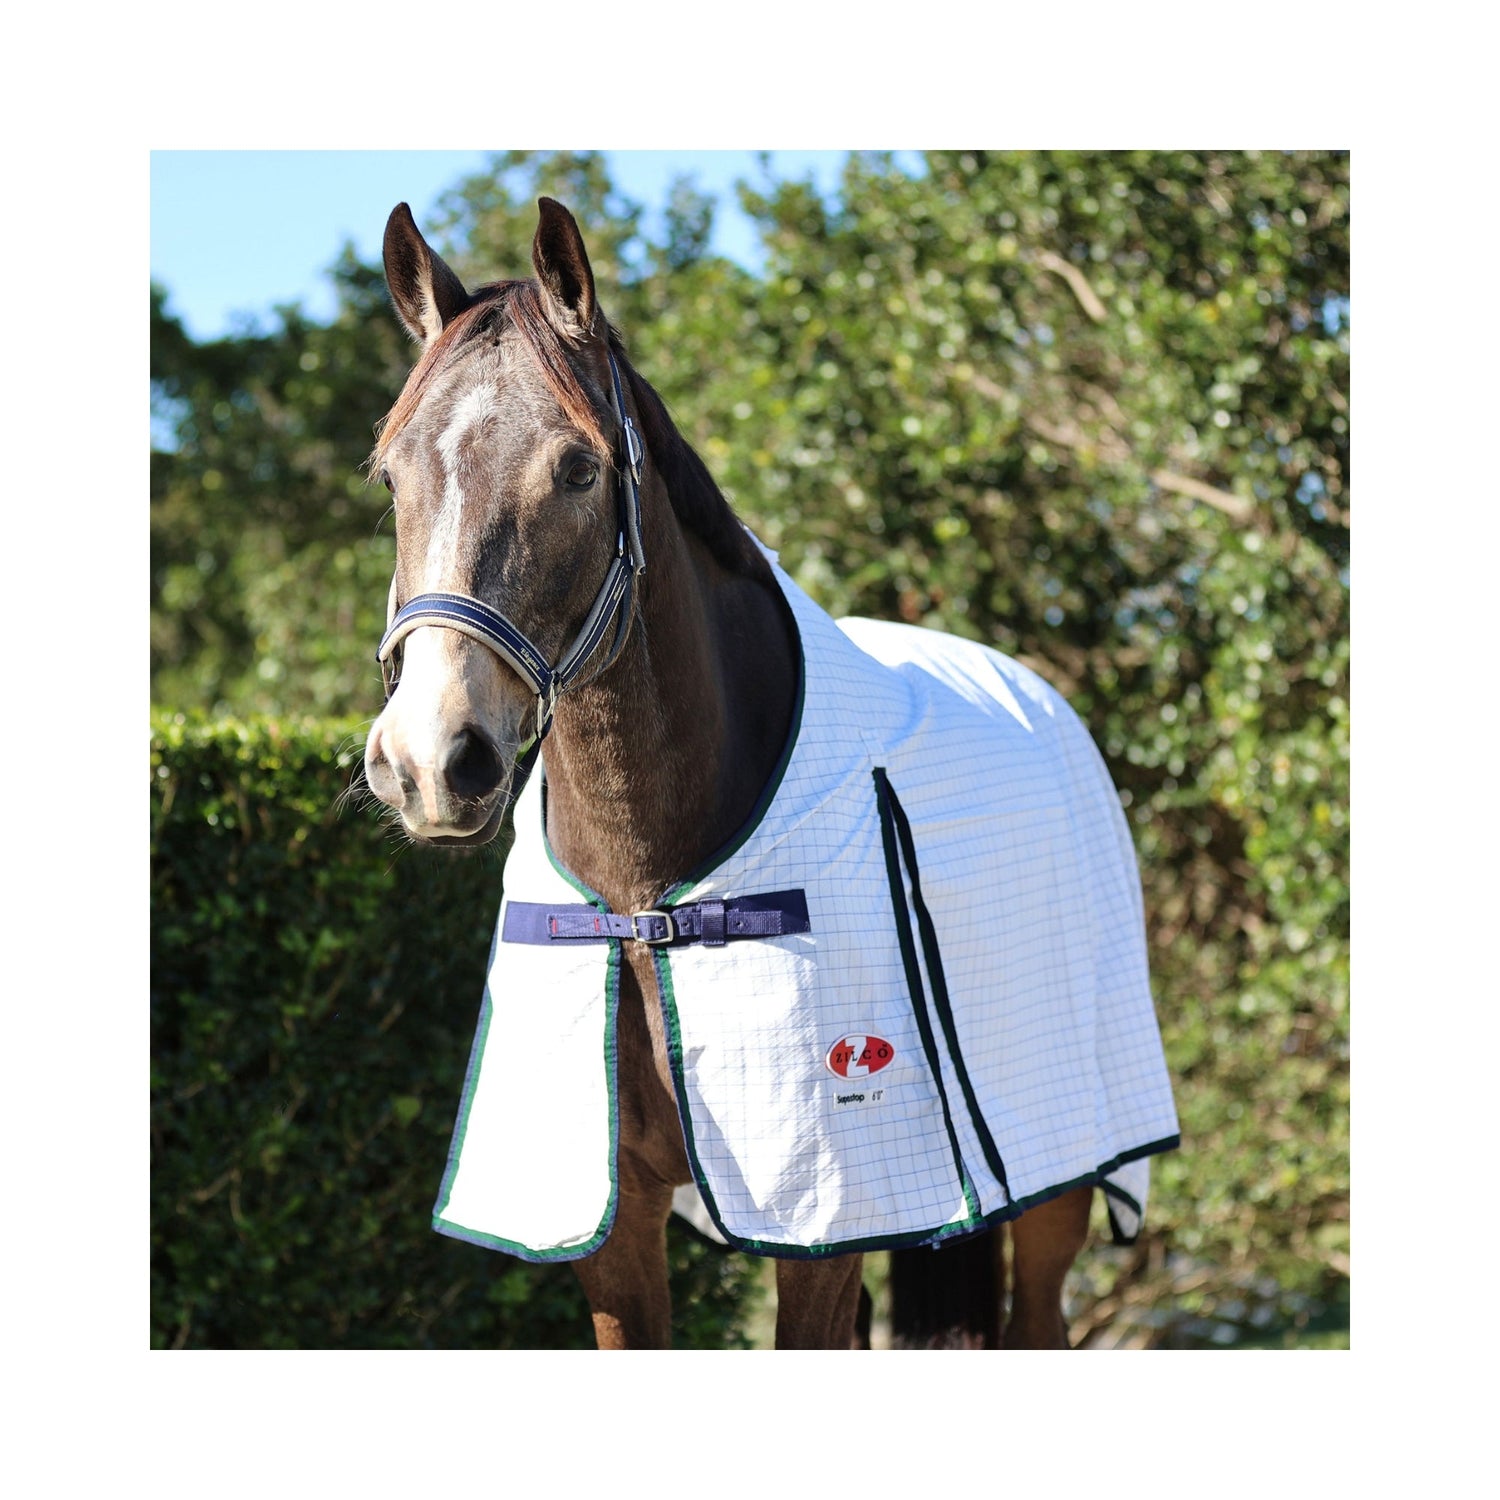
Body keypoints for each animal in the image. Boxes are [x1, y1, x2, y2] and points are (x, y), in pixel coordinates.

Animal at [362, 196, 1178, 1349]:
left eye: (578, 469)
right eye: (392, 473)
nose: (432, 759)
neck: (644, 894)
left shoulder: (820, 1231)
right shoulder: (614, 1228)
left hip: (1059, 1182)